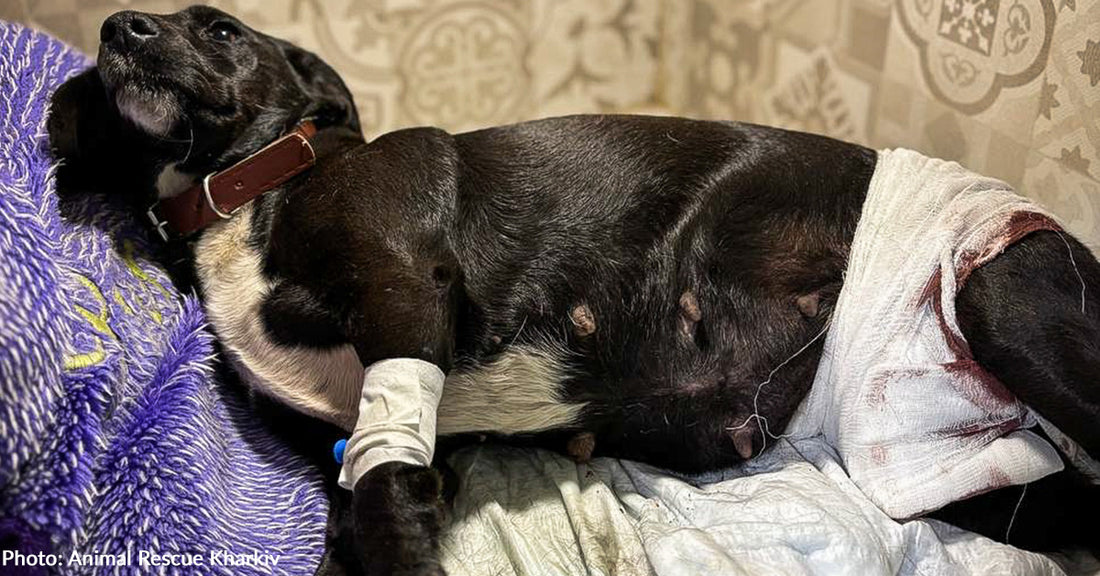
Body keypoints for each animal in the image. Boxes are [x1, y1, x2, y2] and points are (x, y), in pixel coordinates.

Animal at [47, 5, 1095, 576]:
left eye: (221, 28)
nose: (115, 25)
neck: (249, 188)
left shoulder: (405, 293)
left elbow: (384, 496)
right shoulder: (402, 444)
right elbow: (364, 507)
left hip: (994, 298)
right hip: (951, 472)